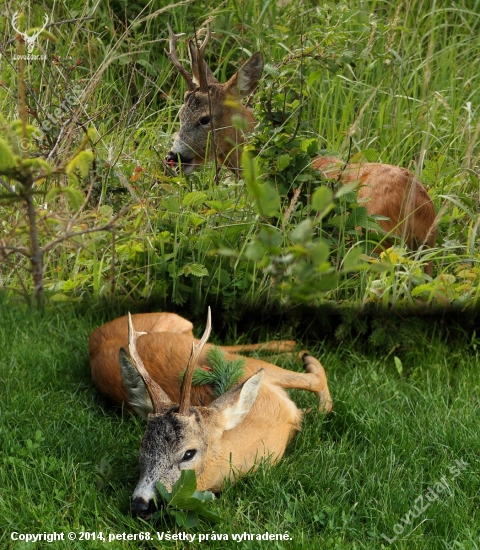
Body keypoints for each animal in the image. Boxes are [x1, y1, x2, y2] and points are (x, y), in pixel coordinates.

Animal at [88, 312, 332, 520]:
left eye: (188, 453)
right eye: (142, 446)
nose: (140, 504)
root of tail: (94, 336)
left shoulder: (252, 369)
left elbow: (316, 386)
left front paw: (307, 359)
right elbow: (318, 398)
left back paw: (297, 349)